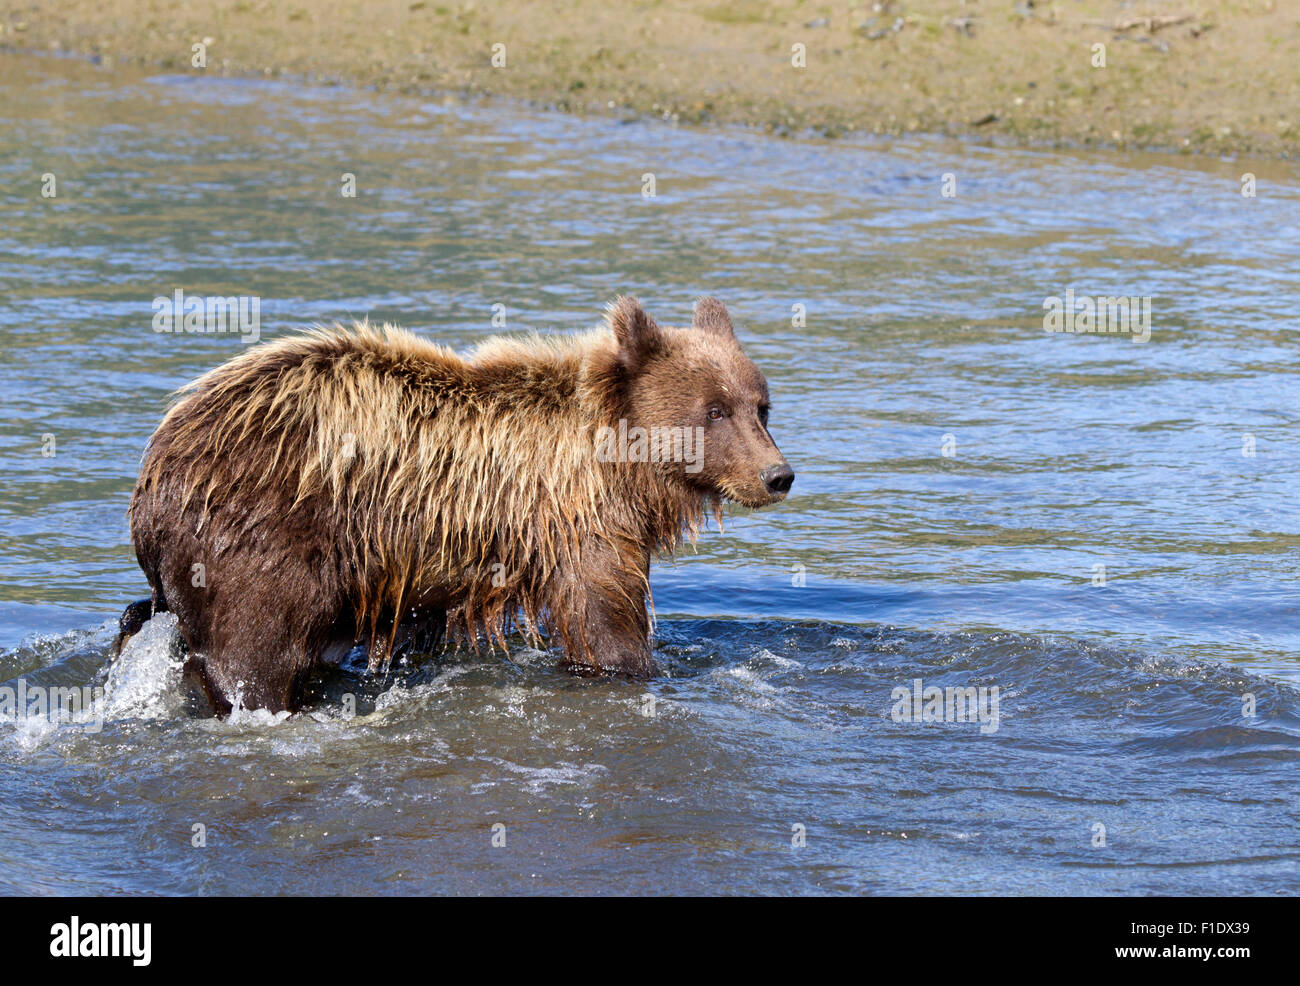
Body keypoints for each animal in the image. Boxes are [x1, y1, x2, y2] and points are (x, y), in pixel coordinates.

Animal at [123, 296, 793, 713]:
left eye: (760, 405)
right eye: (714, 409)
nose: (777, 475)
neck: (618, 464)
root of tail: (154, 467)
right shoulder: (579, 526)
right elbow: (606, 622)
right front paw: (642, 667)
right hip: (264, 533)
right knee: (253, 647)